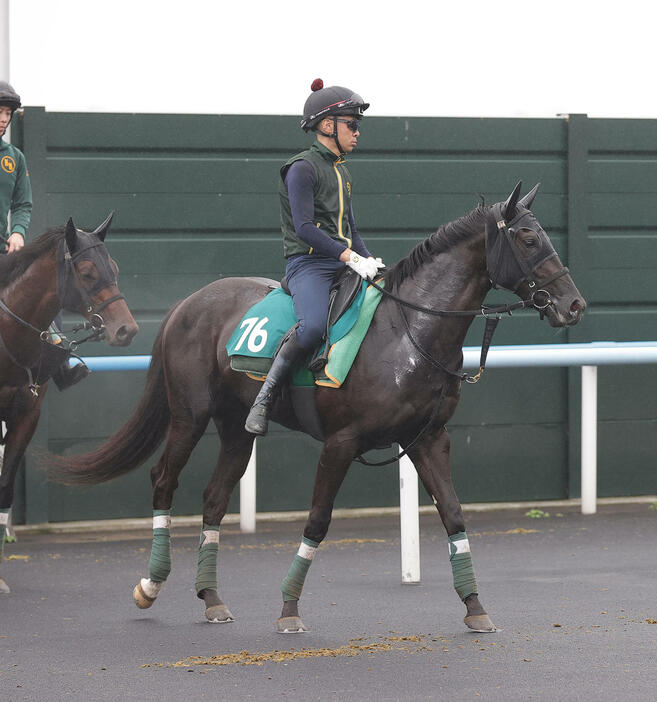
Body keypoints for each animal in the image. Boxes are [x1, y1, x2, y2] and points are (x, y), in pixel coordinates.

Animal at [51, 184, 584, 636]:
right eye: (530, 238)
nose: (574, 305)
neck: (407, 331)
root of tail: (187, 304)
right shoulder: (341, 443)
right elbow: (317, 521)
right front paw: (289, 607)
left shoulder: (428, 439)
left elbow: (453, 515)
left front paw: (475, 606)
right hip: (189, 416)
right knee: (164, 479)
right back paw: (151, 584)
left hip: (237, 429)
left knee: (214, 498)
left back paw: (212, 598)